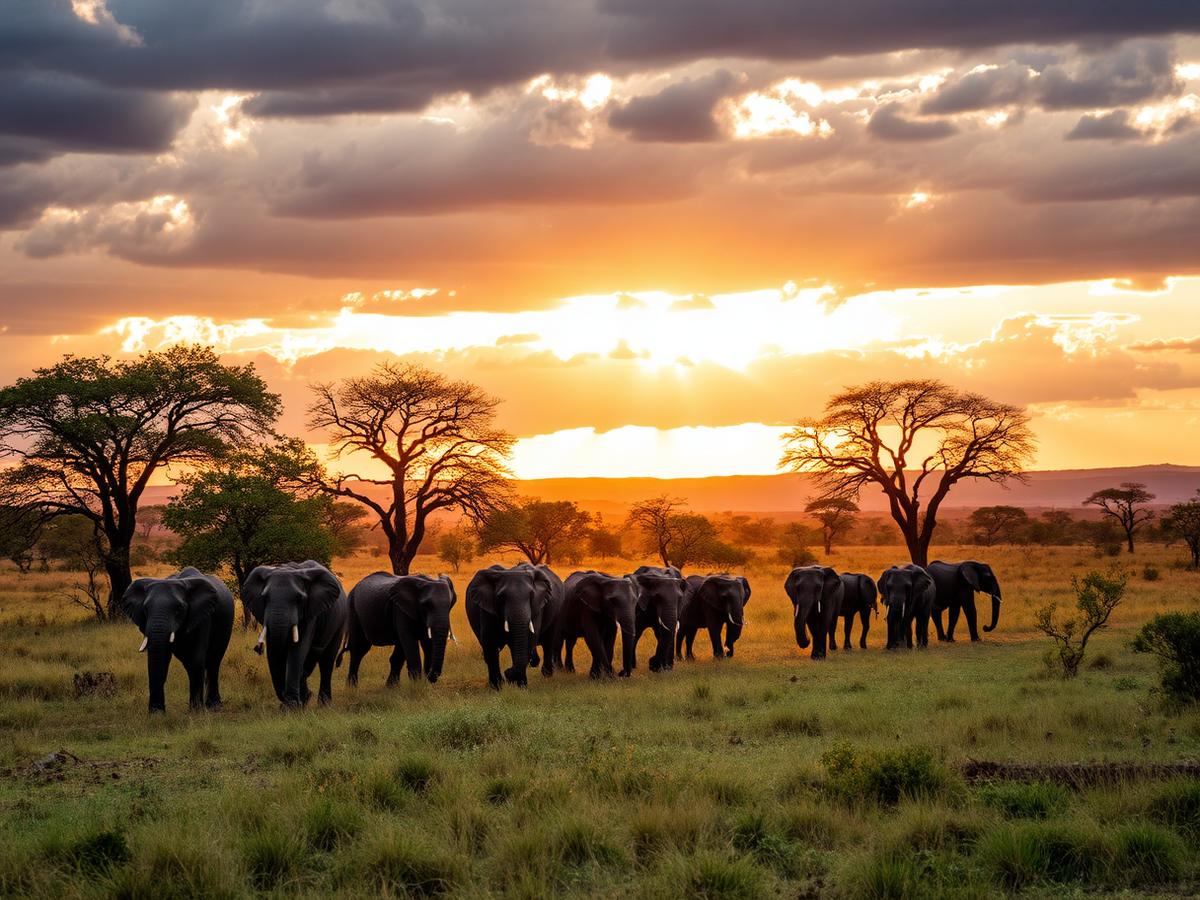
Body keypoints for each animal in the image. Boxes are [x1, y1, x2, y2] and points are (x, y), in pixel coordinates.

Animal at [121, 567, 235, 714]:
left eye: (179, 608)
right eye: (145, 609)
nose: (156, 710)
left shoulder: (202, 616)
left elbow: (196, 658)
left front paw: (196, 712)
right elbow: (162, 658)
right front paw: (157, 713)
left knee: (213, 661)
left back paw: (213, 706)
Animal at [243, 560, 348, 708]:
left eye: (299, 599)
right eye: (264, 598)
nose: (257, 648)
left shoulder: (311, 614)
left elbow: (297, 650)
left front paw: (290, 707)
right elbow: (275, 652)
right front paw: (295, 703)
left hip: (339, 622)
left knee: (326, 661)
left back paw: (324, 704)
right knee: (308, 664)